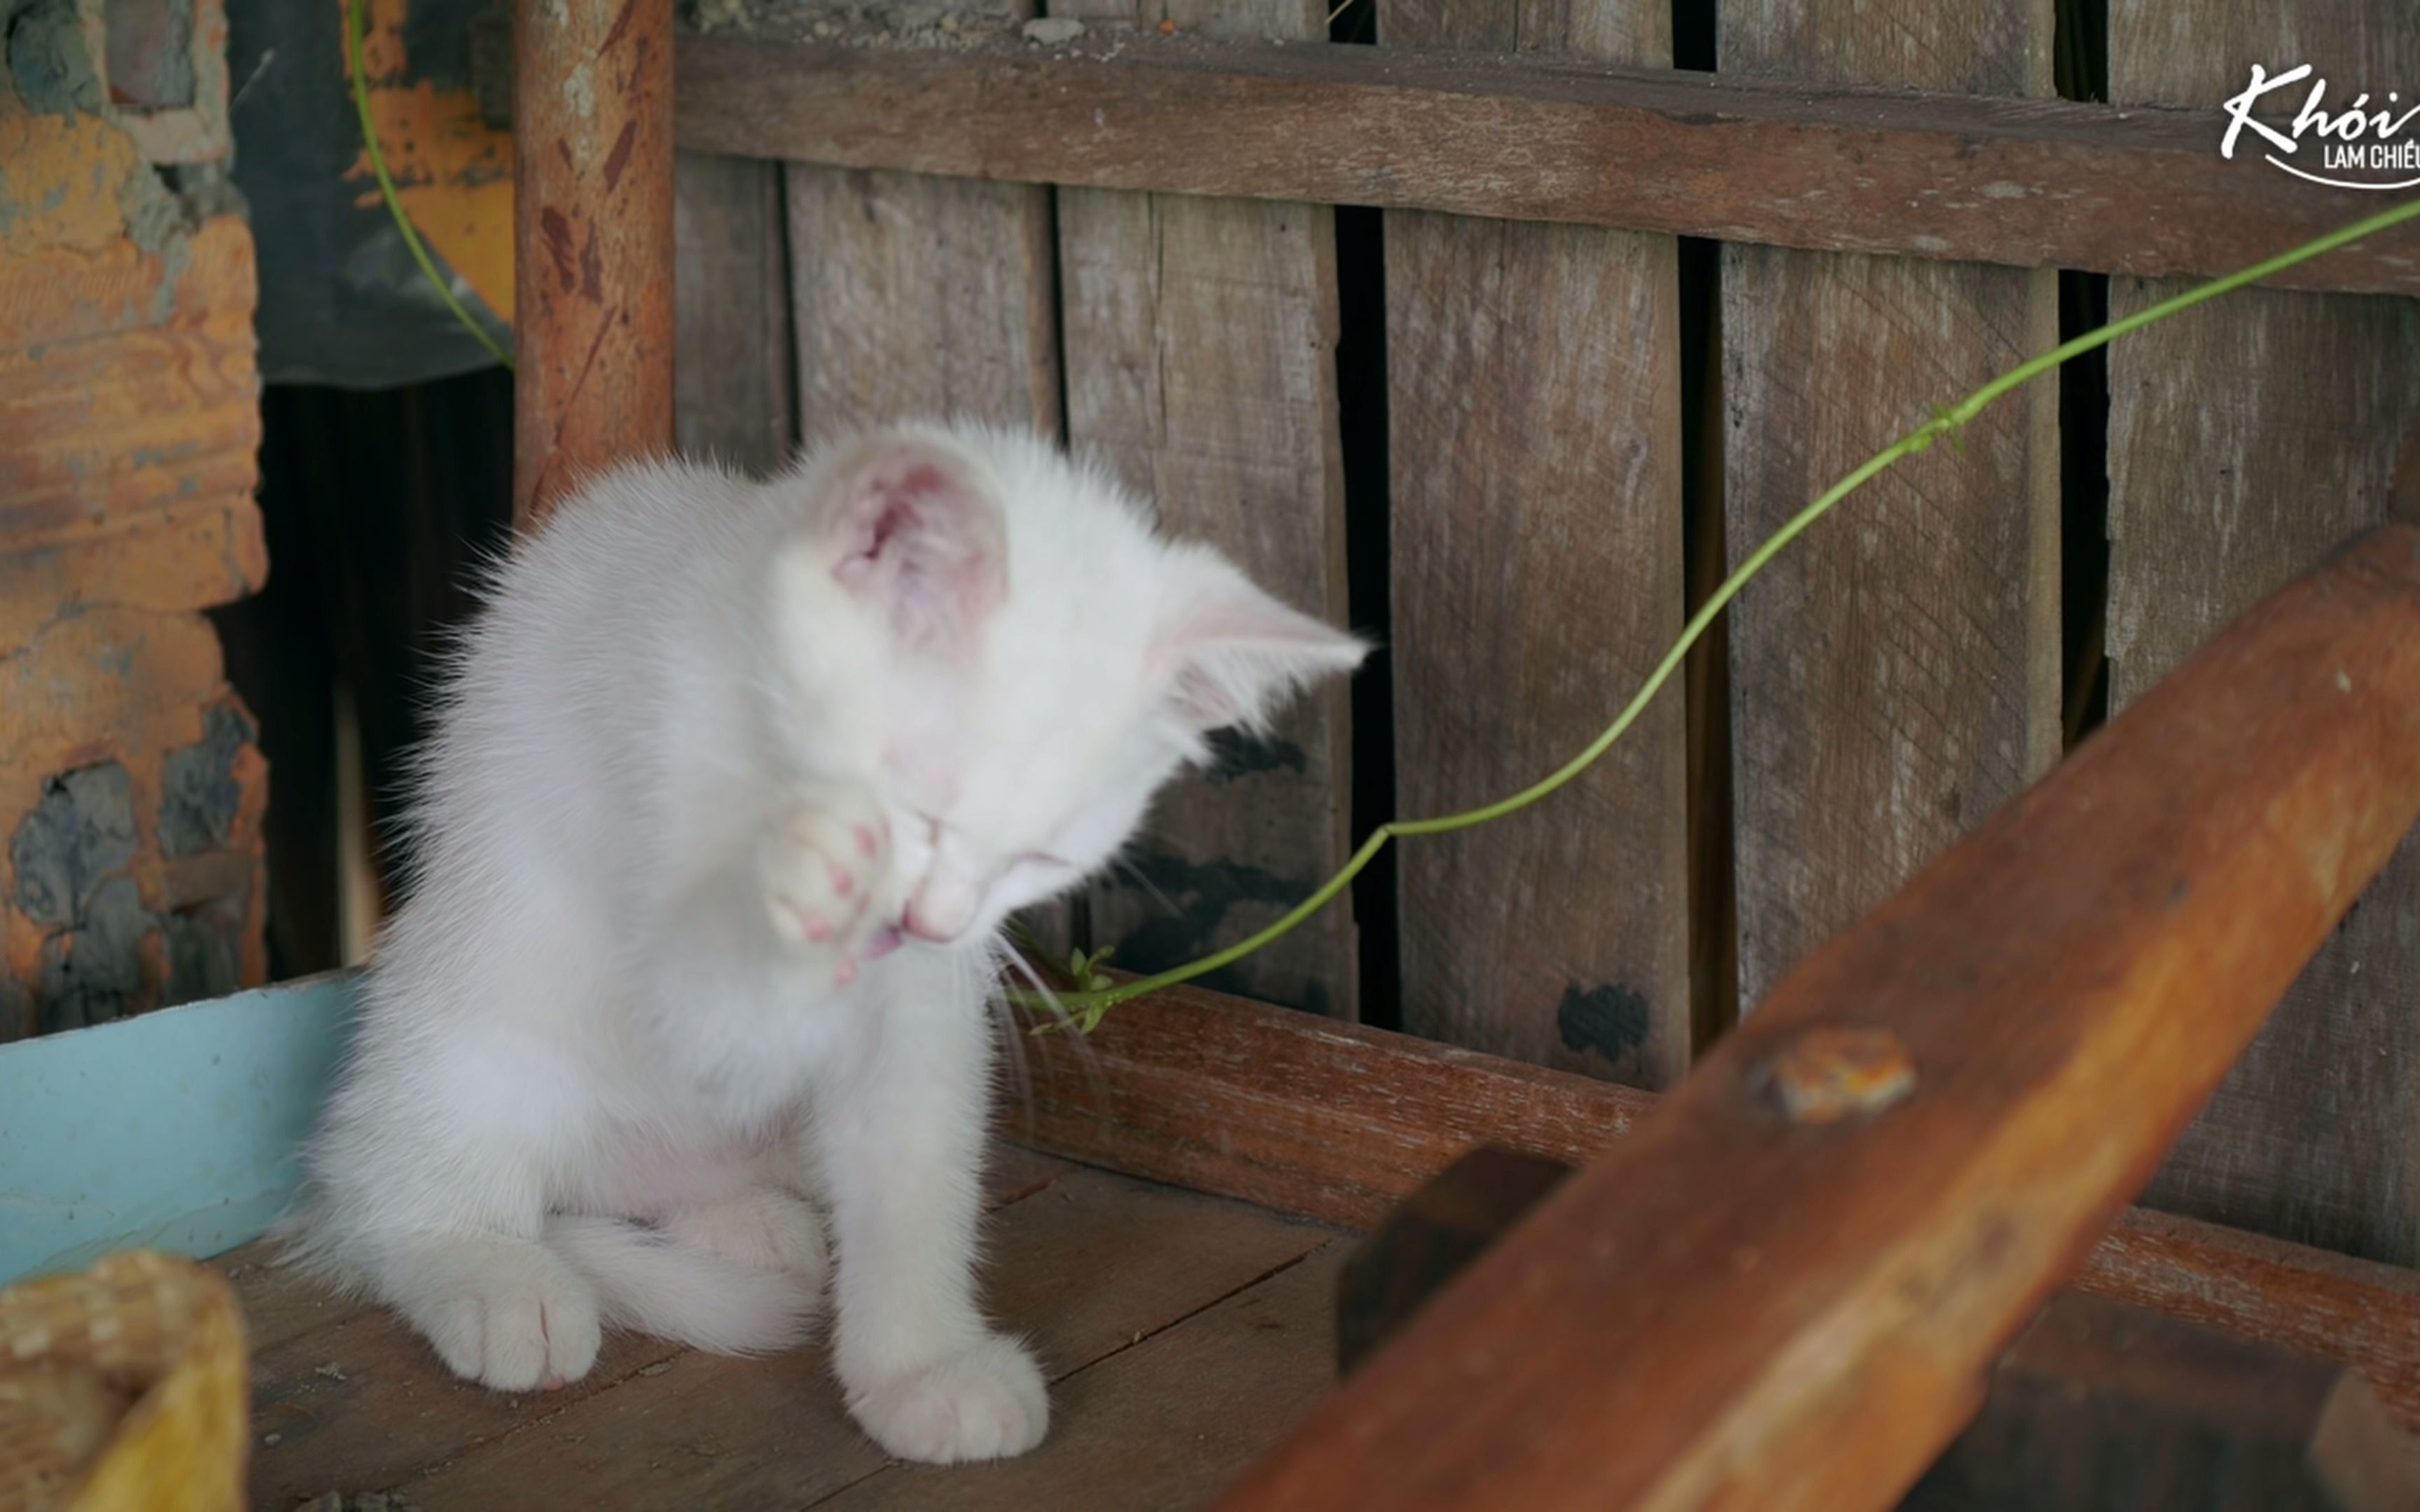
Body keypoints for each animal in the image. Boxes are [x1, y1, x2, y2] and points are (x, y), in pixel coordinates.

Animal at [278, 421, 1365, 1461]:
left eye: (1042, 854)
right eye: (917, 797)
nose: (931, 919)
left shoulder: (925, 1004)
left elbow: (918, 1163)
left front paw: (920, 1372)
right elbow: (707, 992)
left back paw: (750, 1222)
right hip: (469, 1015)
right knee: (401, 1190)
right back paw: (496, 1276)